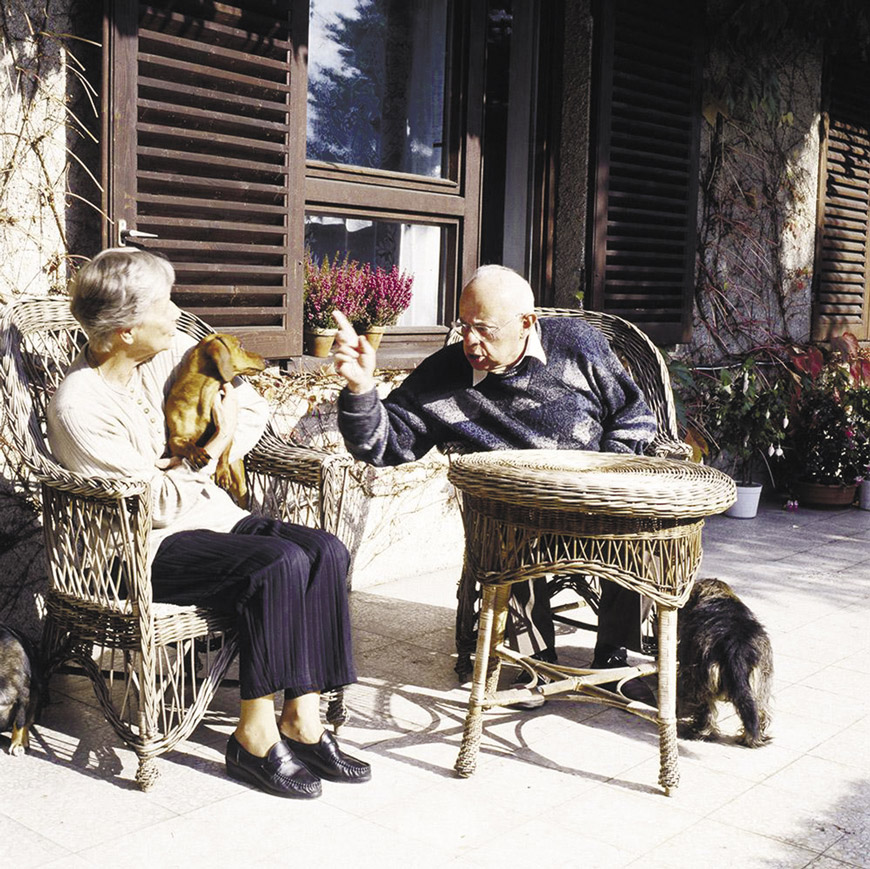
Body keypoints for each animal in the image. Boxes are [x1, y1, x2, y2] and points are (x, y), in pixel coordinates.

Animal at [676, 576, 772, 744]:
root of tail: (736, 642)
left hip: (702, 676)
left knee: (705, 708)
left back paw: (700, 732)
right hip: (762, 681)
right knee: (759, 709)